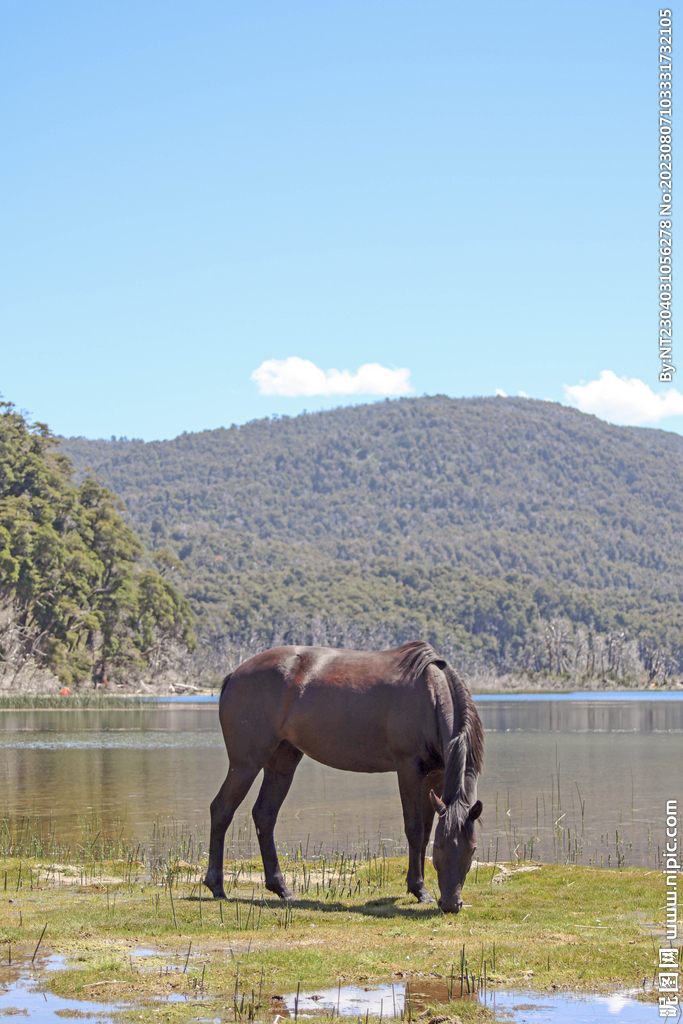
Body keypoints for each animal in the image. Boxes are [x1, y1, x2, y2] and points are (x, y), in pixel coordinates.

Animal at [203, 640, 484, 913]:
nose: (451, 904)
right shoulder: (409, 769)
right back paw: (216, 886)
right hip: (245, 764)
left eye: (472, 849)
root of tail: (235, 674)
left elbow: (425, 832)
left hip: (282, 762)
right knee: (222, 809)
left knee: (264, 815)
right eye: (440, 848)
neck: (431, 695)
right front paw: (419, 890)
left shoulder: (435, 776)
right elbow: (414, 829)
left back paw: (281, 888)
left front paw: (420, 889)